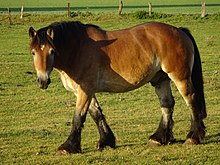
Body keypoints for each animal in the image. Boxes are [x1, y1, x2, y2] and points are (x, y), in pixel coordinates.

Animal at [28, 21, 206, 155]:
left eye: (52, 51)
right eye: (33, 53)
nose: (43, 81)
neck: (77, 49)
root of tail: (179, 31)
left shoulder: (85, 90)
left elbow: (78, 117)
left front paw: (67, 147)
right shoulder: (85, 91)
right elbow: (96, 114)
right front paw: (106, 141)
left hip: (180, 77)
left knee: (191, 101)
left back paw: (193, 137)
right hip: (161, 80)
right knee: (167, 105)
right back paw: (158, 138)